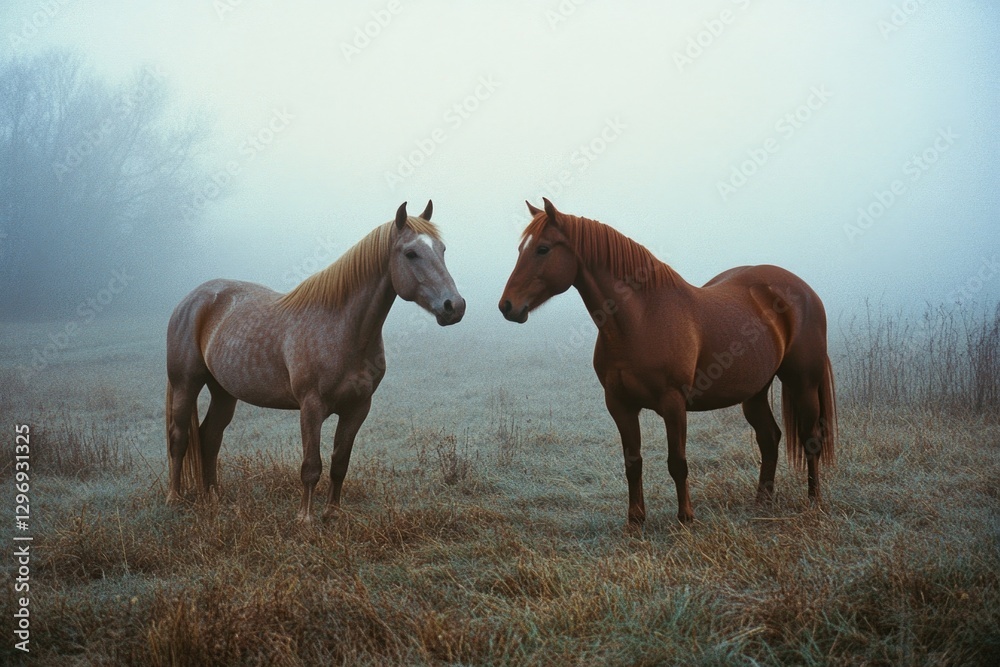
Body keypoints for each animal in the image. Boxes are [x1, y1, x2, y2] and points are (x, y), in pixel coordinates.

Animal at [166, 201, 465, 522]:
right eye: (411, 253)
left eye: (442, 249)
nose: (454, 306)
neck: (342, 329)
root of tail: (191, 300)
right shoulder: (311, 407)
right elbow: (311, 466)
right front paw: (305, 519)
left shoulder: (358, 408)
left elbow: (340, 463)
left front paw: (332, 513)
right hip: (186, 384)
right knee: (179, 437)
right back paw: (174, 498)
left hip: (223, 392)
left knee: (209, 437)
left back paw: (213, 497)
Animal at [499, 198, 836, 529]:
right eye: (520, 249)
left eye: (543, 249)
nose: (507, 306)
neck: (641, 319)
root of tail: (805, 291)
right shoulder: (619, 404)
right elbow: (633, 462)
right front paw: (635, 521)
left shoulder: (673, 403)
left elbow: (678, 463)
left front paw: (686, 518)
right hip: (754, 391)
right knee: (769, 438)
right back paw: (762, 503)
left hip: (803, 384)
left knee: (810, 440)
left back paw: (814, 503)